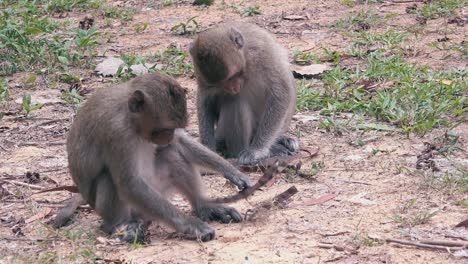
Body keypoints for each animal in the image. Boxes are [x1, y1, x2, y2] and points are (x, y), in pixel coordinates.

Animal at [62, 72, 254, 243]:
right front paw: (192, 225)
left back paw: (204, 207)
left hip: (158, 190)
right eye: (163, 129)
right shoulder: (116, 132)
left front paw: (232, 171)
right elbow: (130, 183)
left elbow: (180, 142)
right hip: (135, 206)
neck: (130, 117)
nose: (168, 137)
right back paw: (119, 225)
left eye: (173, 128)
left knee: (171, 155)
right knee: (110, 179)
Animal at [188, 21, 298, 165]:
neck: (245, 58)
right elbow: (205, 100)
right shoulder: (203, 78)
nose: (233, 88)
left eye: (232, 76)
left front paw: (256, 150)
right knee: (235, 101)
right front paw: (208, 148)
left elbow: (282, 93)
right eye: (219, 83)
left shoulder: (262, 53)